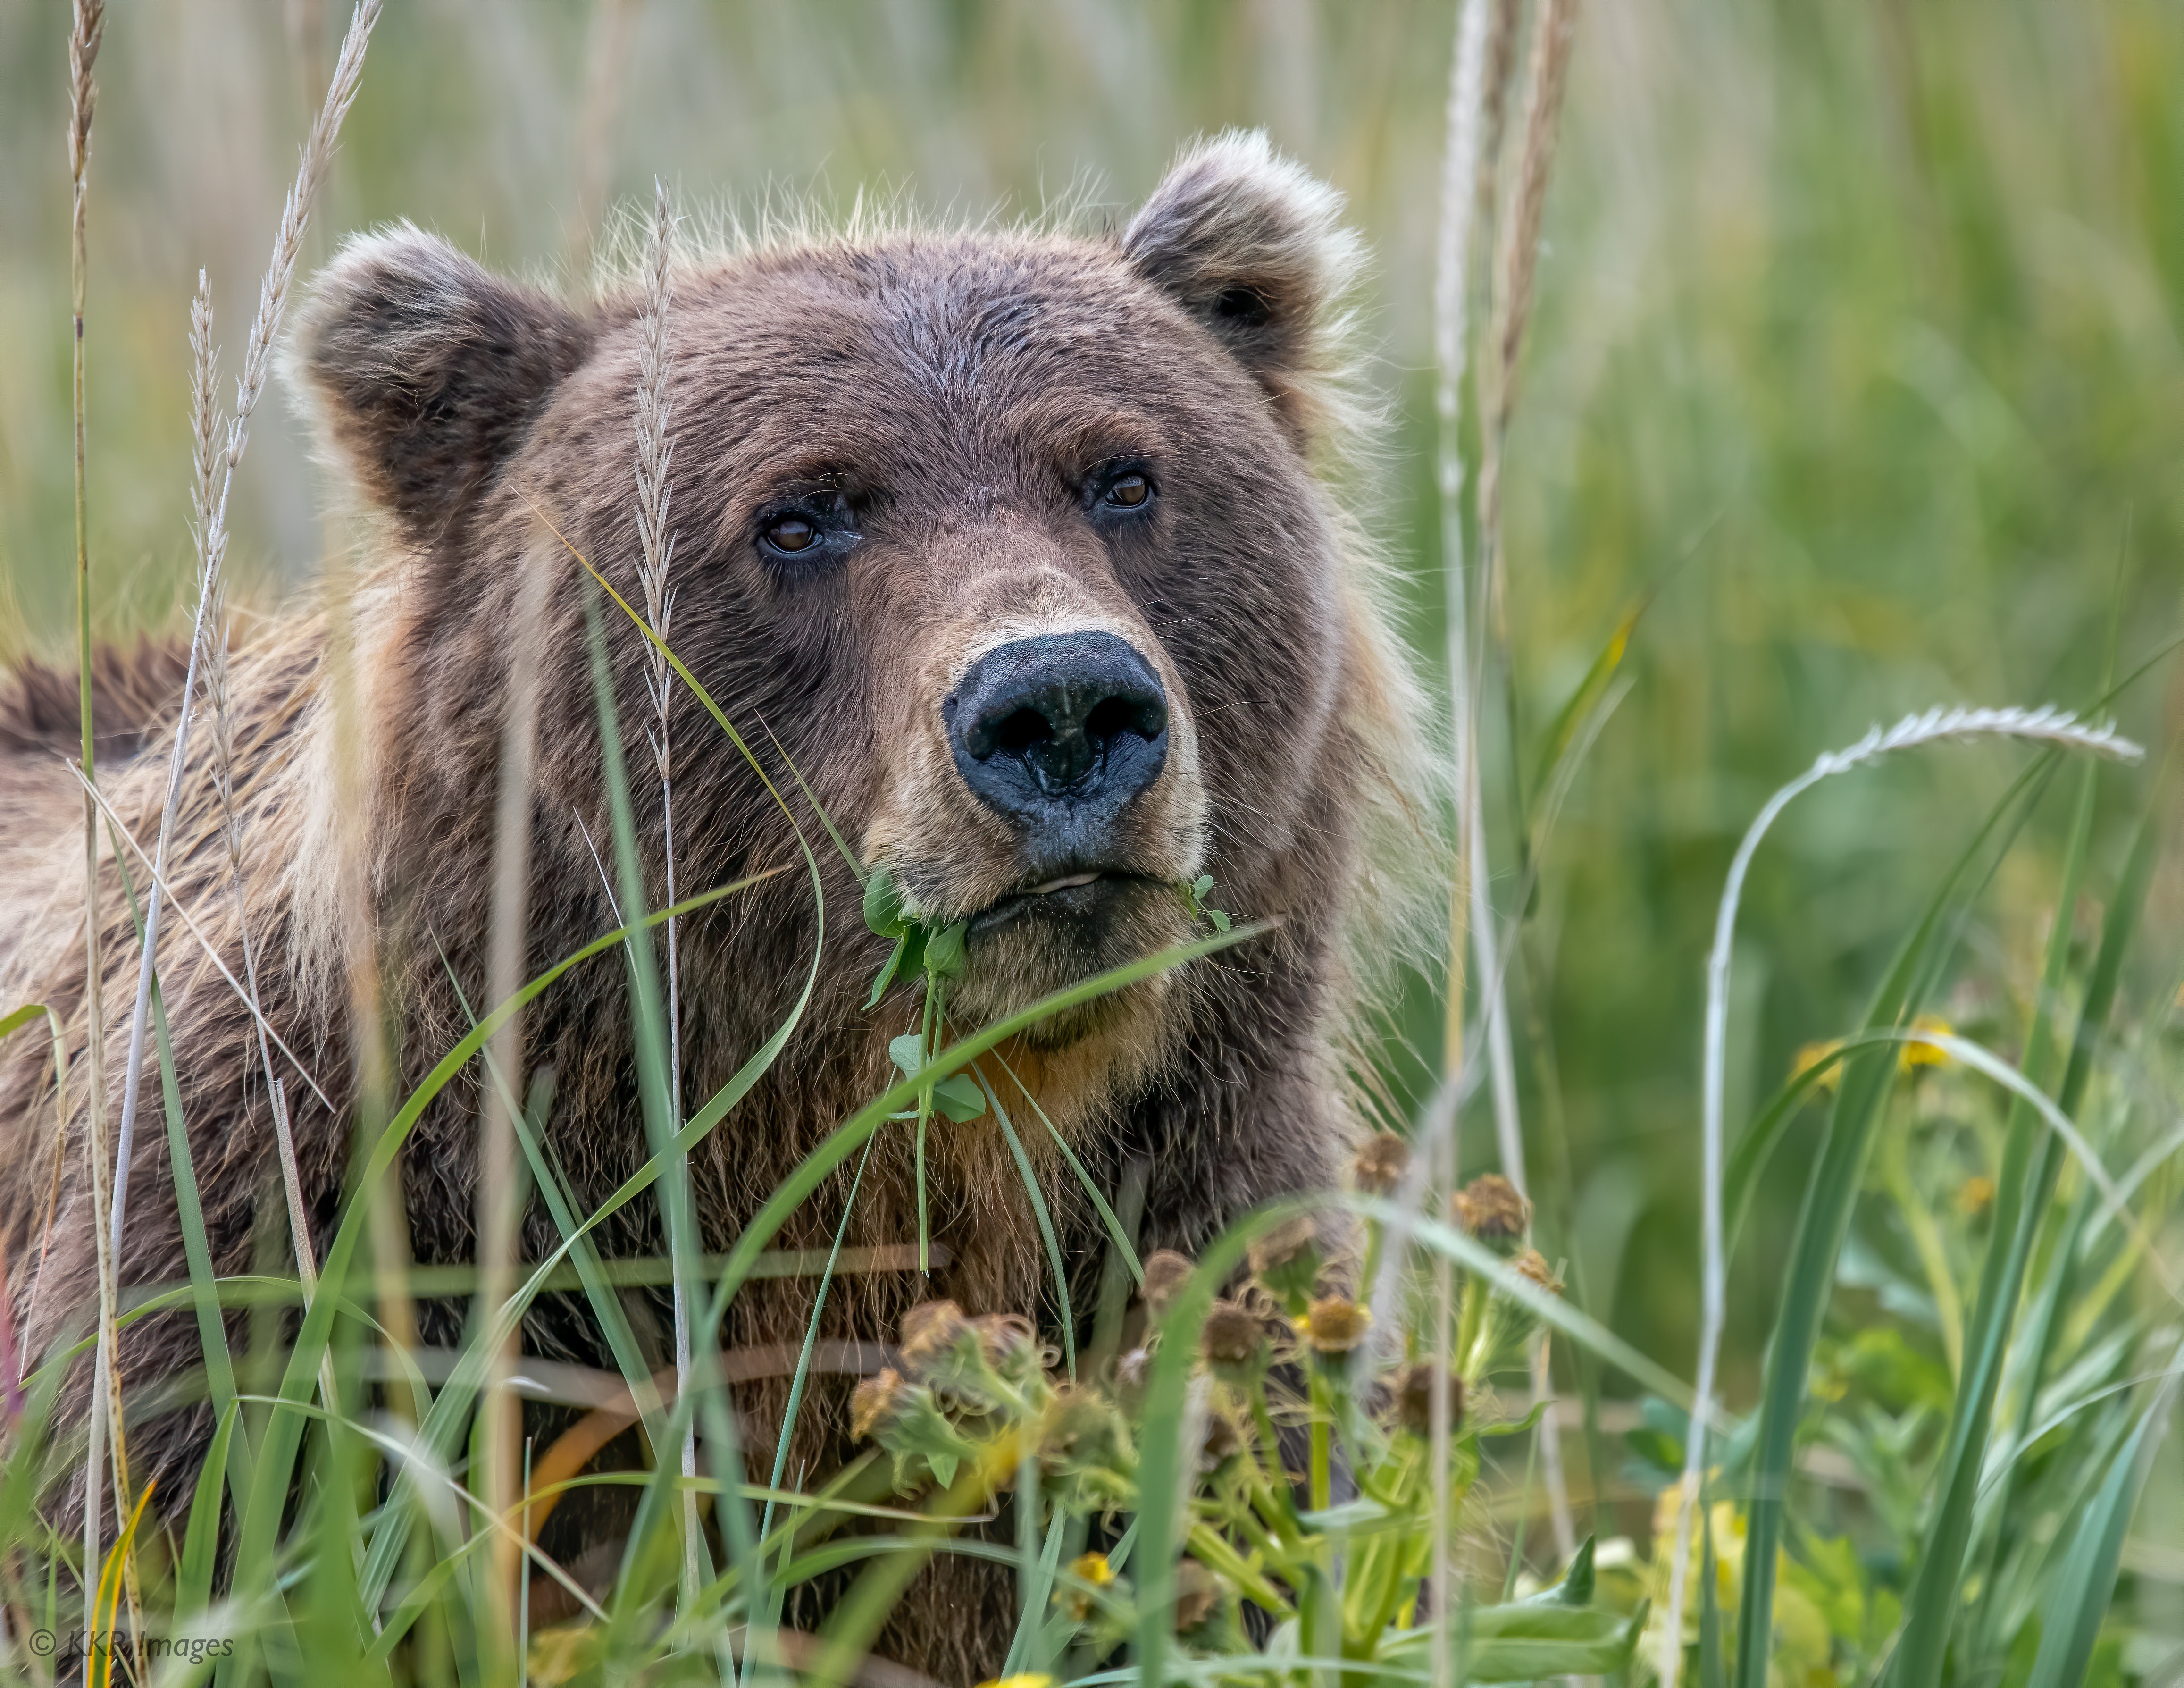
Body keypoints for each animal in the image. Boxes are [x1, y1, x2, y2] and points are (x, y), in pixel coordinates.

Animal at [0, 131, 1435, 1678]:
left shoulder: (1191, 1227)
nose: (1059, 703)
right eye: (798, 516)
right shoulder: (302, 1249)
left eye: (1121, 477)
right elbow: (192, 1533)